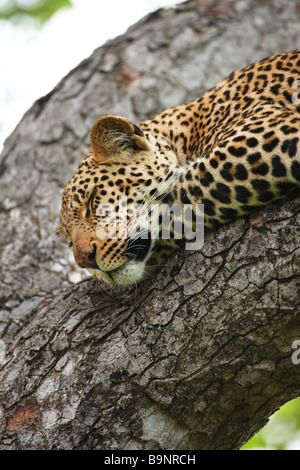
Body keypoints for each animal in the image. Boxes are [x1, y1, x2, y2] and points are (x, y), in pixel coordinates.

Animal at [58, 50, 300, 286]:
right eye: (68, 239)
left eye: (92, 201)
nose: (84, 260)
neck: (186, 133)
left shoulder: (269, 136)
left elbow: (181, 196)